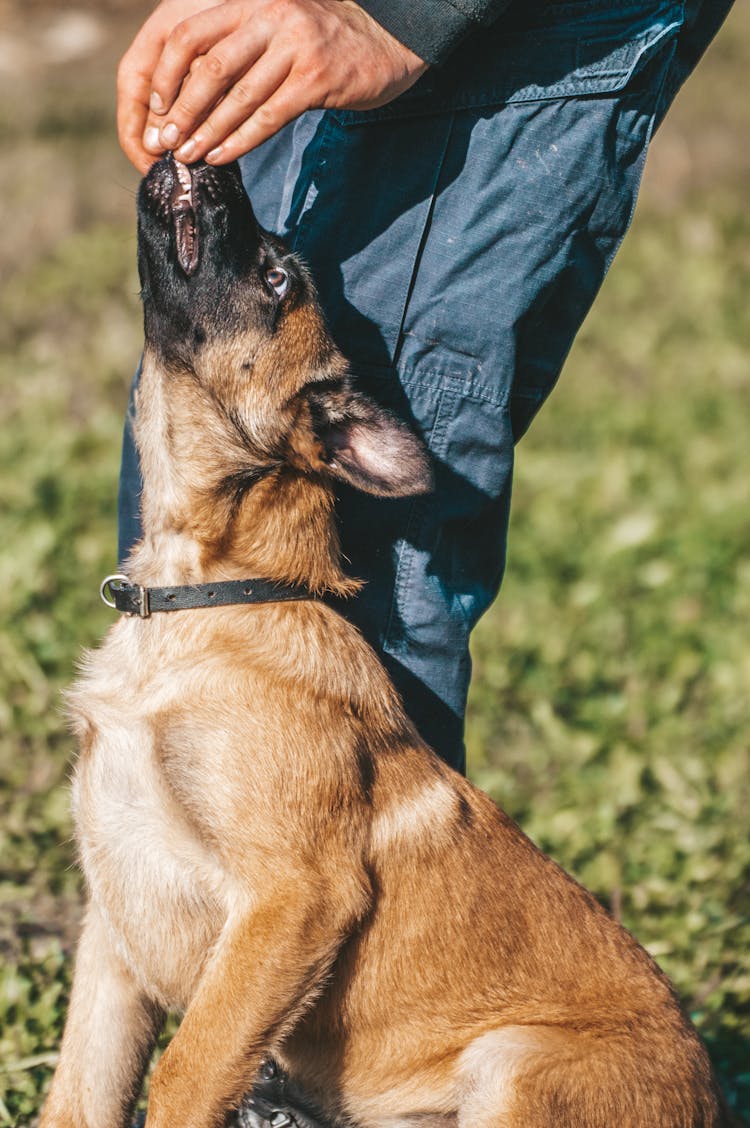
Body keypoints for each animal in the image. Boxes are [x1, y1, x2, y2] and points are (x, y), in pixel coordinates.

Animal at [38, 156, 726, 1128]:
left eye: (276, 280)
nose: (222, 165)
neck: (205, 596)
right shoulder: (115, 929)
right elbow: (78, 1096)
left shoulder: (294, 898)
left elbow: (183, 1076)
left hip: (512, 1064)